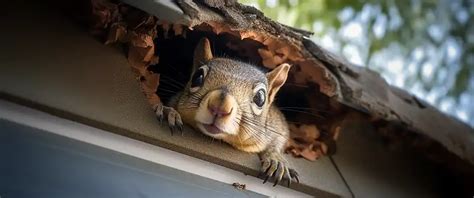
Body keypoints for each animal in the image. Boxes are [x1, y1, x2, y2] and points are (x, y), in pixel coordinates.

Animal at [154, 37, 298, 187]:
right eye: (197, 77)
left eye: (260, 98)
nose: (219, 107)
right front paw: (169, 112)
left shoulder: (277, 124)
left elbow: (280, 139)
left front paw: (276, 159)